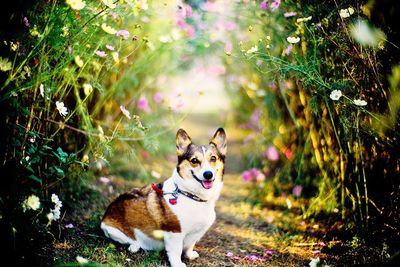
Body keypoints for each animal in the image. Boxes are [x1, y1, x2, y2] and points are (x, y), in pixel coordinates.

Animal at [100, 127, 227, 267]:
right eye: (194, 160)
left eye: (213, 158)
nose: (208, 174)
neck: (191, 195)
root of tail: (105, 216)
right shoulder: (175, 233)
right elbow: (176, 251)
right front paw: (178, 264)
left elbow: (189, 246)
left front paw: (189, 255)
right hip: (113, 230)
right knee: (130, 241)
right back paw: (135, 246)